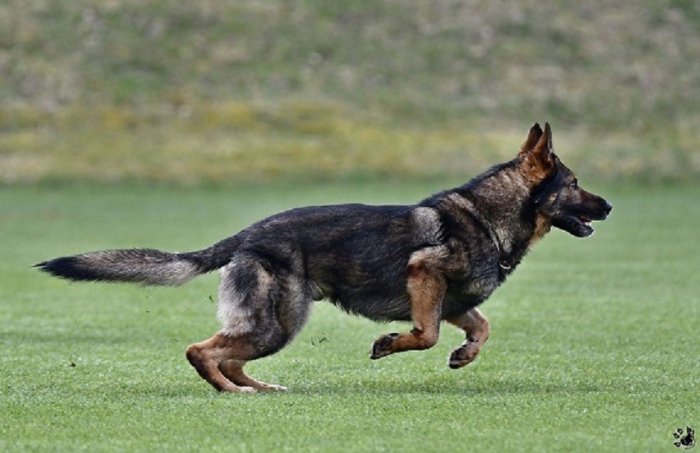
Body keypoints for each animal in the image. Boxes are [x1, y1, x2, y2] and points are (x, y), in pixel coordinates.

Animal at [36, 123, 612, 393]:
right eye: (576, 185)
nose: (609, 205)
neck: (490, 216)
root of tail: (246, 235)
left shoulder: (453, 302)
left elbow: (481, 327)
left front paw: (464, 355)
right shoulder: (424, 275)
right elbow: (425, 334)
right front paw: (389, 344)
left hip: (277, 326)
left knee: (228, 357)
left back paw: (258, 388)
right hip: (275, 324)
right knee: (201, 351)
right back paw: (232, 392)